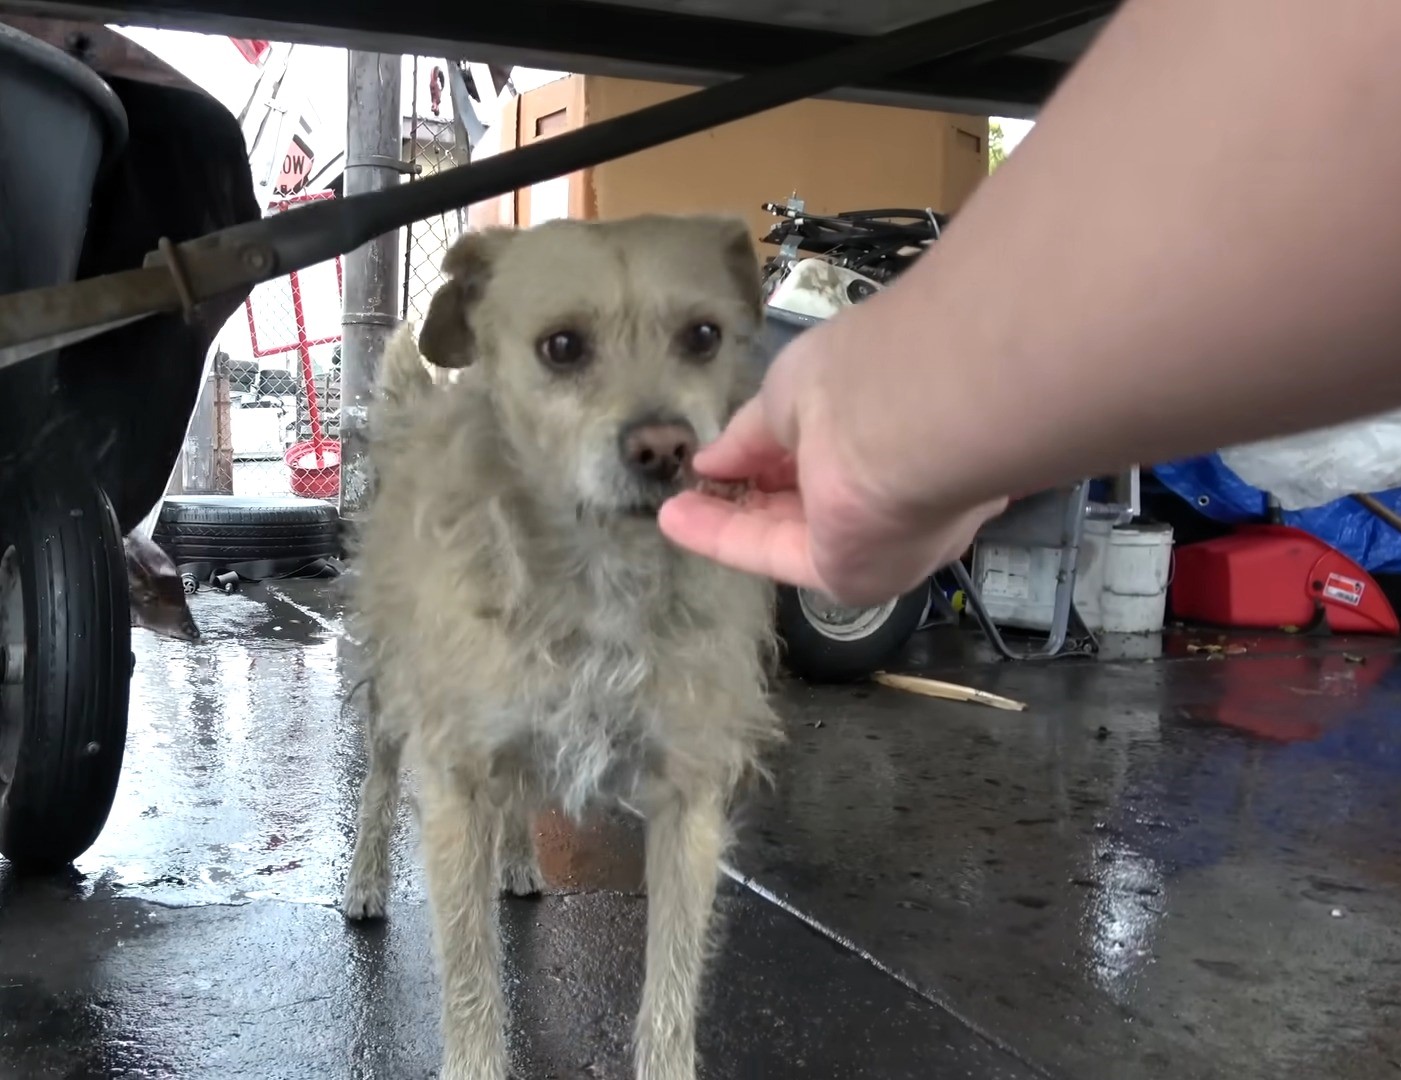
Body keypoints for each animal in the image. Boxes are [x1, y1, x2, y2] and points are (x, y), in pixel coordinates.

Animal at [339, 212, 778, 1080]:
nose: (665, 448)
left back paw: (517, 862)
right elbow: (470, 978)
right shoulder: (456, 784)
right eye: (562, 347)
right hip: (389, 697)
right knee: (375, 785)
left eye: (703, 335)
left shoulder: (687, 802)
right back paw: (366, 881)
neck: (599, 572)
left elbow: (670, 989)